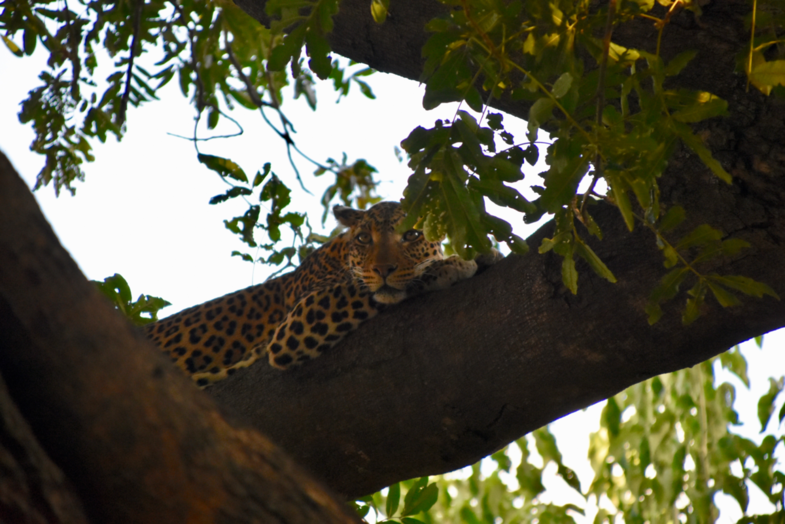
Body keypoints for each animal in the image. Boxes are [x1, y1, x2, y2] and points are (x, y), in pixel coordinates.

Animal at [145, 201, 501, 387]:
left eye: (412, 235)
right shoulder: (292, 327)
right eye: (363, 239)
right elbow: (364, 288)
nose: (383, 269)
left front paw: (483, 255)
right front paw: (451, 264)